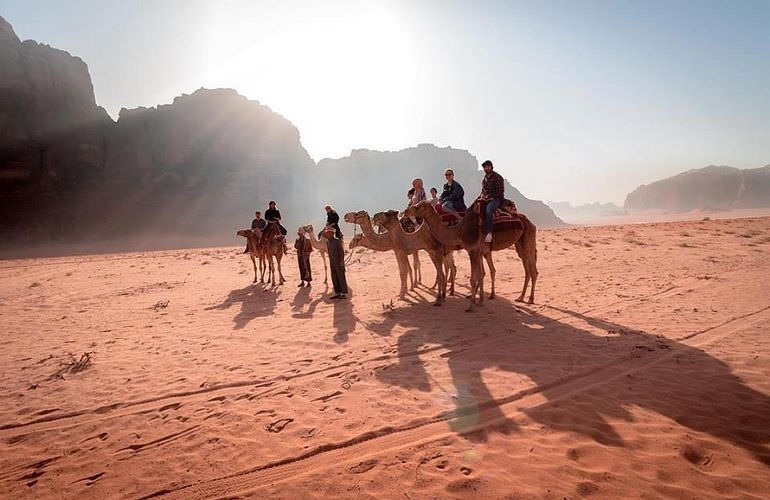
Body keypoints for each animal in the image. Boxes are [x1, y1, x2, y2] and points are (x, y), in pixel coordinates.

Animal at [404, 199, 536, 308]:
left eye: (417, 207)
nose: (405, 211)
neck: (458, 230)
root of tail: (530, 222)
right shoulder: (476, 251)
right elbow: (478, 275)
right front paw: (479, 300)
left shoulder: (471, 251)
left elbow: (471, 277)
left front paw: (470, 304)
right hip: (519, 244)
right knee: (527, 268)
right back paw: (520, 297)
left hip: (527, 240)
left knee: (532, 269)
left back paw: (529, 298)